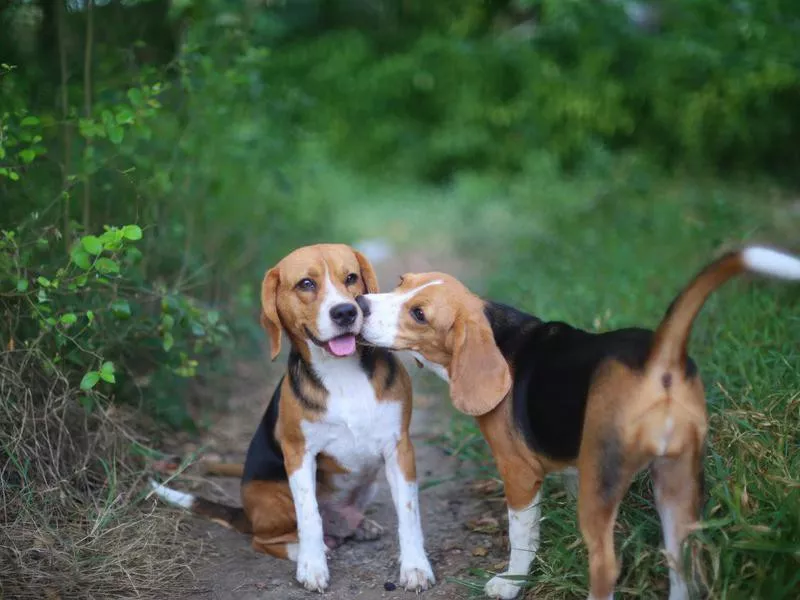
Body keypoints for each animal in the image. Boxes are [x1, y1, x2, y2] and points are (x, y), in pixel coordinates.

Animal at [150, 243, 438, 592]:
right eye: (306, 284)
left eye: (351, 277)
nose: (346, 312)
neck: (342, 373)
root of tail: (245, 513)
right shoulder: (299, 453)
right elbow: (309, 515)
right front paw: (312, 566)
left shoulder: (399, 448)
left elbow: (409, 514)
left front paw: (415, 567)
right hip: (274, 497)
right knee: (265, 540)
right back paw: (304, 549)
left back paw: (359, 527)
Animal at [358, 246, 800, 596]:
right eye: (401, 282)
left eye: (419, 314)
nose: (360, 304)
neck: (500, 338)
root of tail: (660, 354)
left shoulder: (518, 473)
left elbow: (522, 535)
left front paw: (511, 583)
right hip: (678, 480)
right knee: (682, 561)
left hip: (606, 476)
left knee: (606, 565)